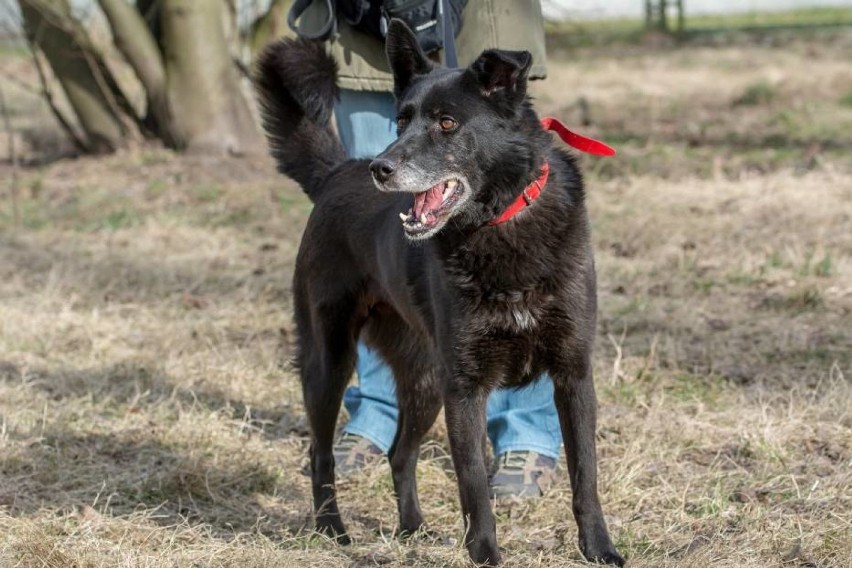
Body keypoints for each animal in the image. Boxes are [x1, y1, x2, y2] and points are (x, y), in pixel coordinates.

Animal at [256, 20, 624, 564]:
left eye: (448, 124)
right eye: (401, 120)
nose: (381, 169)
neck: (499, 223)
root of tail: (335, 174)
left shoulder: (573, 375)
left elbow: (586, 475)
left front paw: (599, 548)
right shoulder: (465, 389)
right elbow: (472, 484)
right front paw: (486, 556)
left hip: (427, 380)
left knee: (399, 453)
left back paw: (412, 528)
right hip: (332, 361)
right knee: (319, 452)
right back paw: (331, 529)